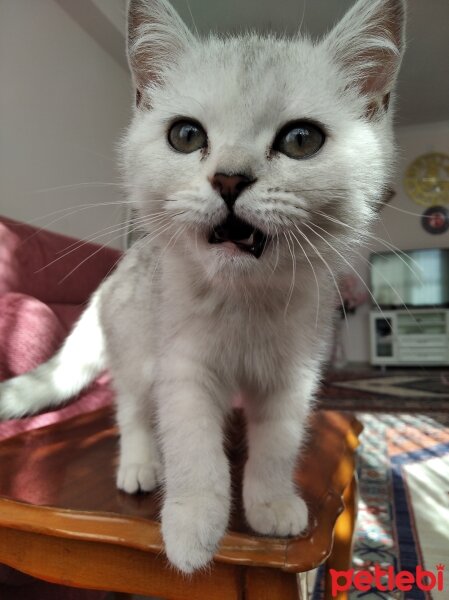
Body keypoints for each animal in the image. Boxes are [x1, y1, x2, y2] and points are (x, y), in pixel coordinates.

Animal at [0, 0, 404, 576]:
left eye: (301, 140)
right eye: (186, 136)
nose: (230, 178)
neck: (244, 302)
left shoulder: (293, 375)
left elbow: (278, 443)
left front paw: (269, 500)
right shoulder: (181, 366)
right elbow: (193, 448)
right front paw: (193, 524)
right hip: (135, 350)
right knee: (132, 409)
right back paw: (140, 463)